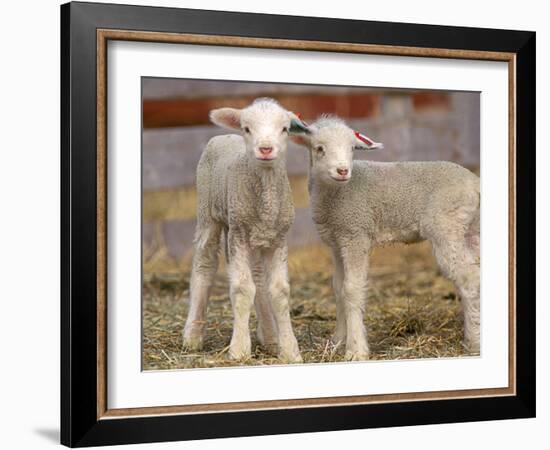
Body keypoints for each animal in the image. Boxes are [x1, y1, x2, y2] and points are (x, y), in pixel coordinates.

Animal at [182, 97, 308, 362]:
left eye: (285, 129)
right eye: (247, 129)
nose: (266, 149)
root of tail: (224, 135)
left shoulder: (278, 238)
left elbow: (279, 291)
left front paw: (289, 350)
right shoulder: (238, 235)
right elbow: (241, 288)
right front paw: (239, 349)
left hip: (252, 235)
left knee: (258, 278)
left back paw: (269, 336)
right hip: (210, 215)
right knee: (204, 265)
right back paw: (193, 336)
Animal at [292, 117, 480, 362]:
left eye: (352, 149)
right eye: (319, 149)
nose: (343, 170)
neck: (336, 194)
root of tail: (475, 184)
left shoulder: (356, 234)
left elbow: (352, 289)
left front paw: (355, 350)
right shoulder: (337, 241)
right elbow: (338, 289)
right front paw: (337, 342)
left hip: (447, 227)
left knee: (469, 278)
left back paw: (473, 341)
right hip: (470, 230)